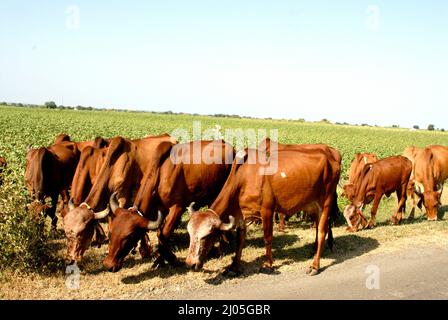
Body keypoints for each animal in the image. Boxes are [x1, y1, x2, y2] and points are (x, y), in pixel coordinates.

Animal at [101, 140, 234, 272]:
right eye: (111, 232)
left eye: (129, 236)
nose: (108, 264)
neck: (161, 172)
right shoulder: (161, 210)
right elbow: (160, 234)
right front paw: (160, 261)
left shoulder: (177, 207)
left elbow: (163, 234)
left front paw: (171, 258)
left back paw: (223, 245)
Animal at [186, 146, 340, 276]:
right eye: (190, 234)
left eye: (207, 236)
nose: (190, 264)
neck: (243, 178)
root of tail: (331, 154)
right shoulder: (241, 215)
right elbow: (240, 242)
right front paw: (234, 267)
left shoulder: (267, 210)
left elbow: (267, 238)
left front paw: (267, 264)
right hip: (313, 205)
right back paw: (314, 249)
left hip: (326, 202)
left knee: (322, 231)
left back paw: (315, 266)